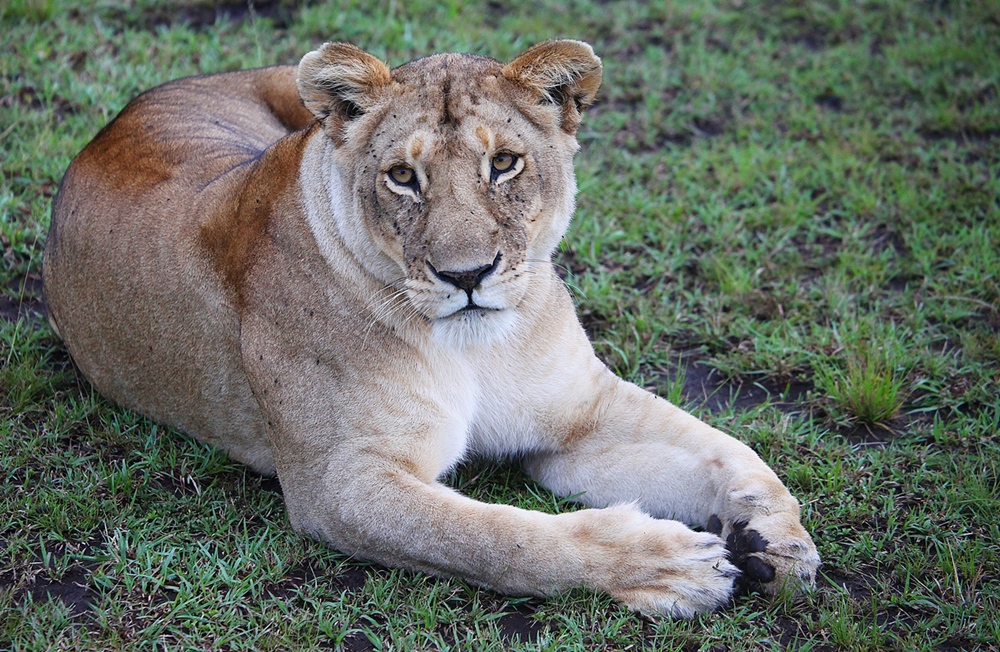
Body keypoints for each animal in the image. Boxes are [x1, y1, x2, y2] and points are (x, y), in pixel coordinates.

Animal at [43, 40, 820, 618]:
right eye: (402, 177)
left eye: (503, 164)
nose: (467, 275)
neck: (477, 349)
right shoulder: (341, 482)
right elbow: (496, 538)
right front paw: (666, 566)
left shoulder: (577, 415)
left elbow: (722, 445)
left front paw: (775, 535)